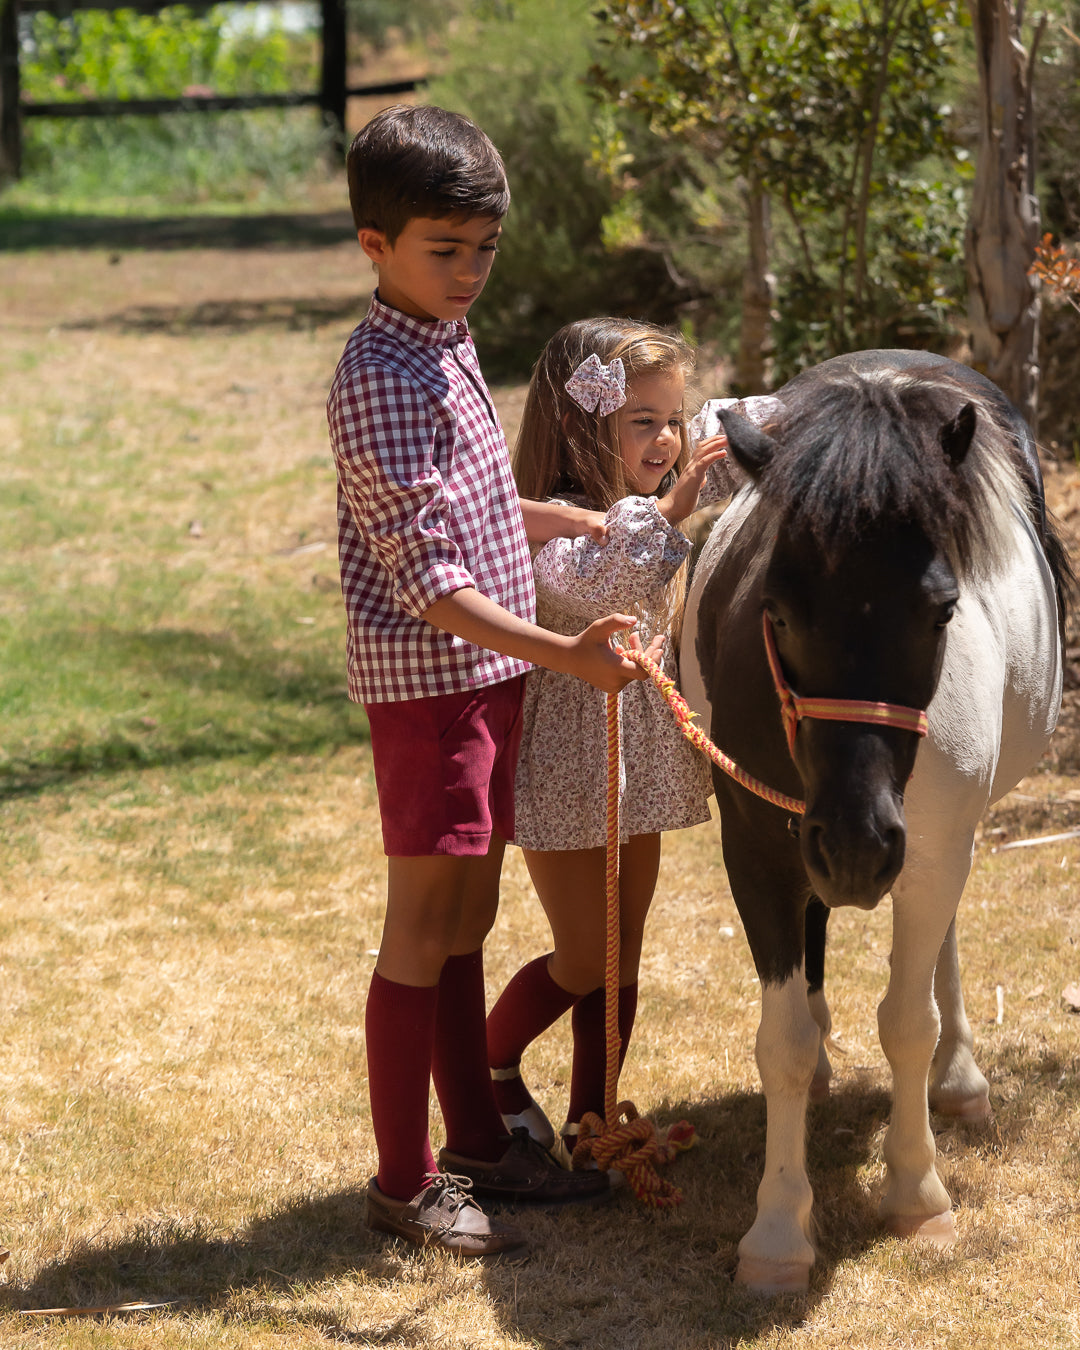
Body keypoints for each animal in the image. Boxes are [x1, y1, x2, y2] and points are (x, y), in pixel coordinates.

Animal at [680, 353, 1069, 1290]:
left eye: (941, 610)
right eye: (777, 611)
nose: (856, 844)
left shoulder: (928, 849)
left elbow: (907, 1020)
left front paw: (916, 1193)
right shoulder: (759, 848)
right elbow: (781, 1037)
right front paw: (779, 1230)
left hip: (941, 839)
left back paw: (959, 1081)